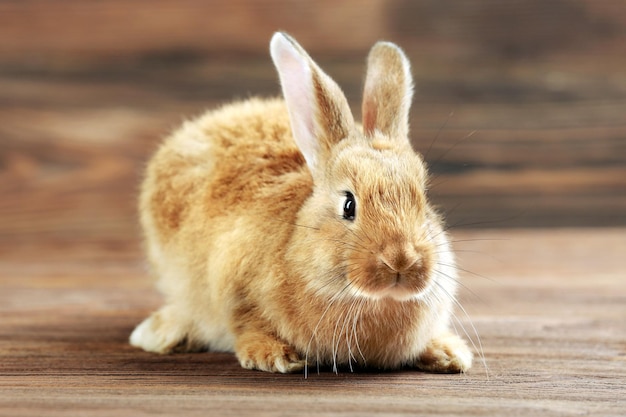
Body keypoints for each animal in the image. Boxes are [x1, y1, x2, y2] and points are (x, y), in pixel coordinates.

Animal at [132, 30, 472, 372]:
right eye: (349, 205)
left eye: (423, 199)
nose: (401, 260)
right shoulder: (233, 283)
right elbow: (246, 323)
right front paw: (274, 356)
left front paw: (449, 353)